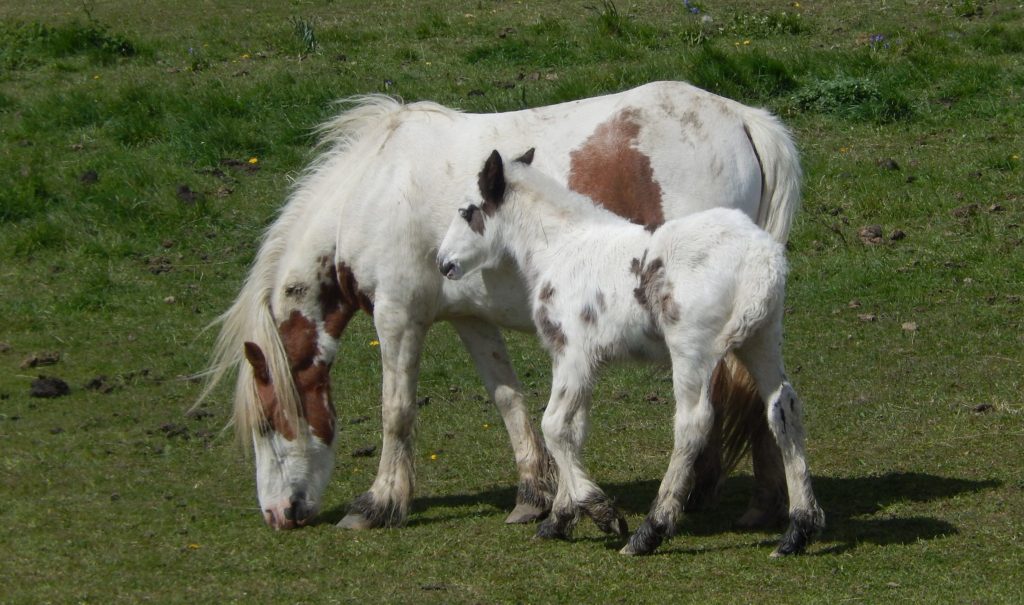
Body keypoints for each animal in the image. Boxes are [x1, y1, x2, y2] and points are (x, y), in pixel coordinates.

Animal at [197, 80, 798, 532]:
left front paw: (379, 503)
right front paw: (535, 496)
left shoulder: (398, 317)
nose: (279, 514)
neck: (370, 193)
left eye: (267, 423)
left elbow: (397, 410)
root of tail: (743, 119)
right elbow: (508, 400)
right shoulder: (470, 320)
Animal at [434, 149, 823, 556]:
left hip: (691, 350)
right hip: (761, 339)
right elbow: (574, 430)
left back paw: (650, 531)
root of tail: (761, 261)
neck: (562, 247)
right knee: (783, 408)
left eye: (468, 211)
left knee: (693, 422)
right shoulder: (580, 364)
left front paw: (602, 512)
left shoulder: (572, 353)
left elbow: (554, 426)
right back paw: (798, 530)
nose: (443, 263)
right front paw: (560, 519)